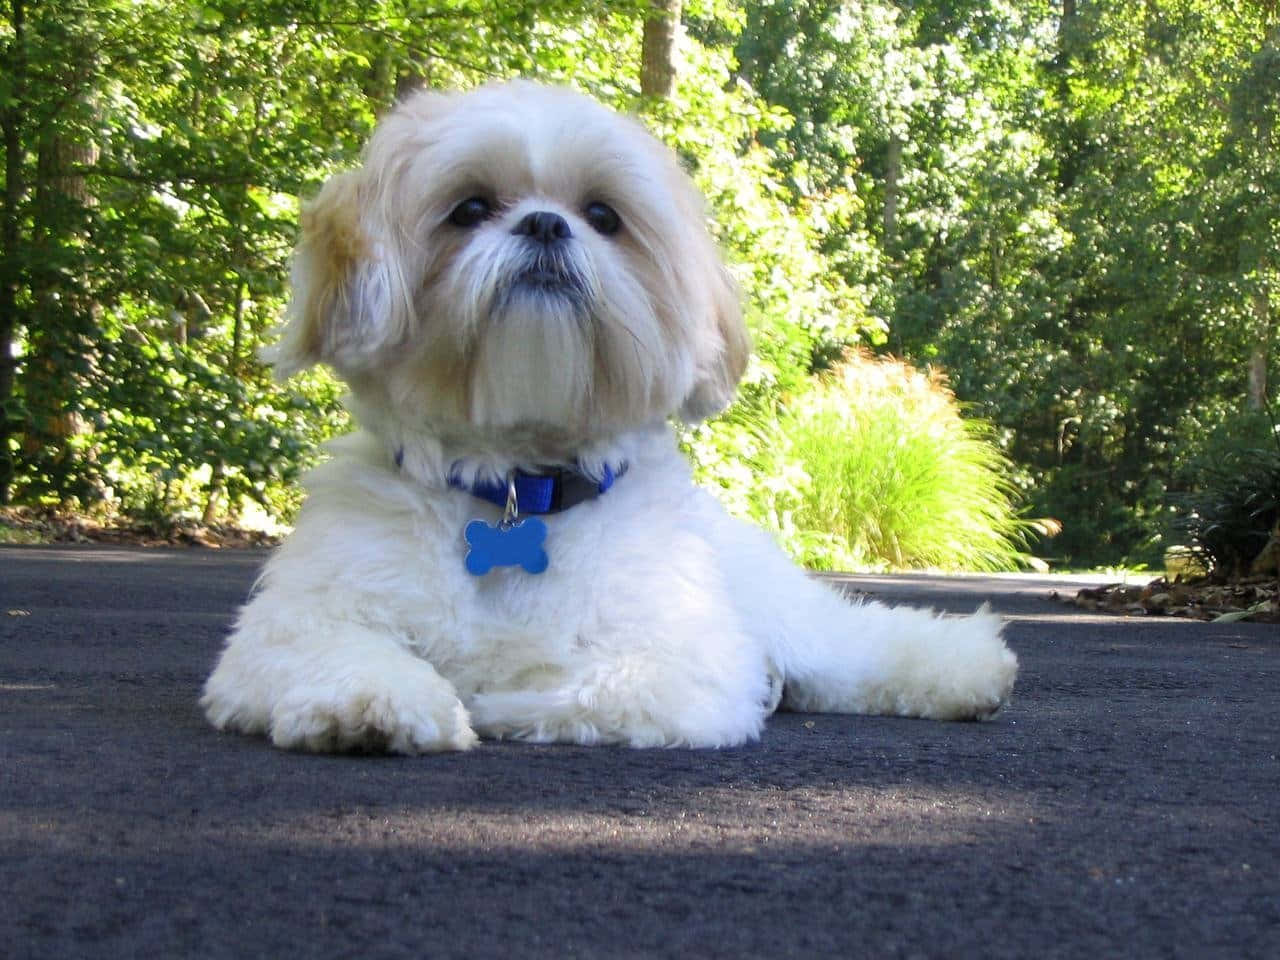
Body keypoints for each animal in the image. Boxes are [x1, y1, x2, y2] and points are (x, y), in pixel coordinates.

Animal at [202, 82, 1018, 757]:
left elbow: (595, 684)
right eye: (469, 208)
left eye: (602, 216)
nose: (544, 224)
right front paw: (377, 702)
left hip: (784, 613)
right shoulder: (297, 623)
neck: (519, 491)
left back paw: (967, 669)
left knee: (853, 644)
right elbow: (332, 652)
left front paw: (494, 698)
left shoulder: (682, 659)